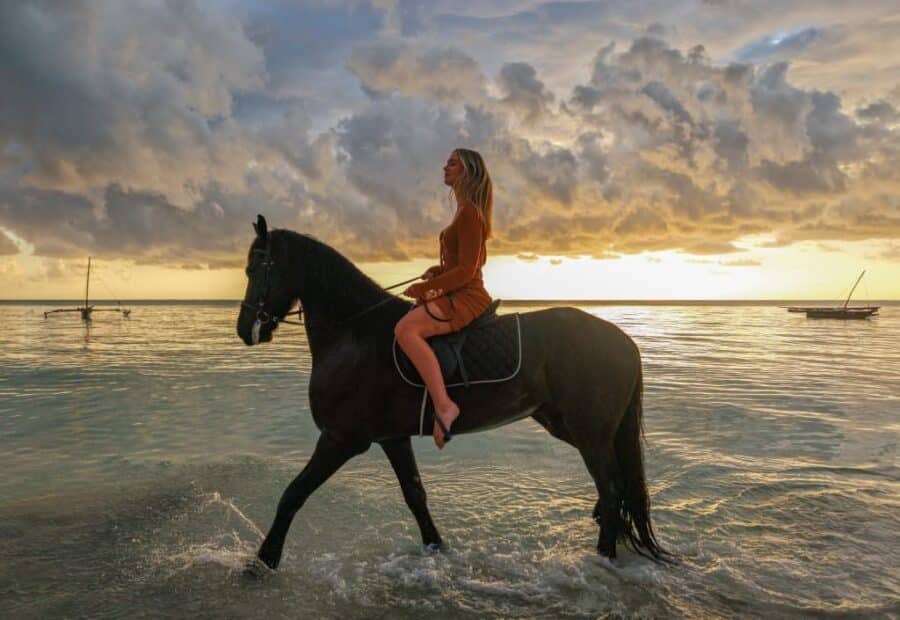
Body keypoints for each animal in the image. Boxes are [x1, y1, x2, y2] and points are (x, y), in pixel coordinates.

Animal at [236, 215, 669, 571]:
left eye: (257, 266)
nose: (245, 329)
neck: (355, 333)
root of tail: (623, 341)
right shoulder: (392, 438)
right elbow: (415, 495)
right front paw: (435, 548)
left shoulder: (342, 439)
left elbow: (292, 494)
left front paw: (263, 561)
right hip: (574, 427)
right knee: (616, 490)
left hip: (589, 433)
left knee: (611, 492)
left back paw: (603, 559)